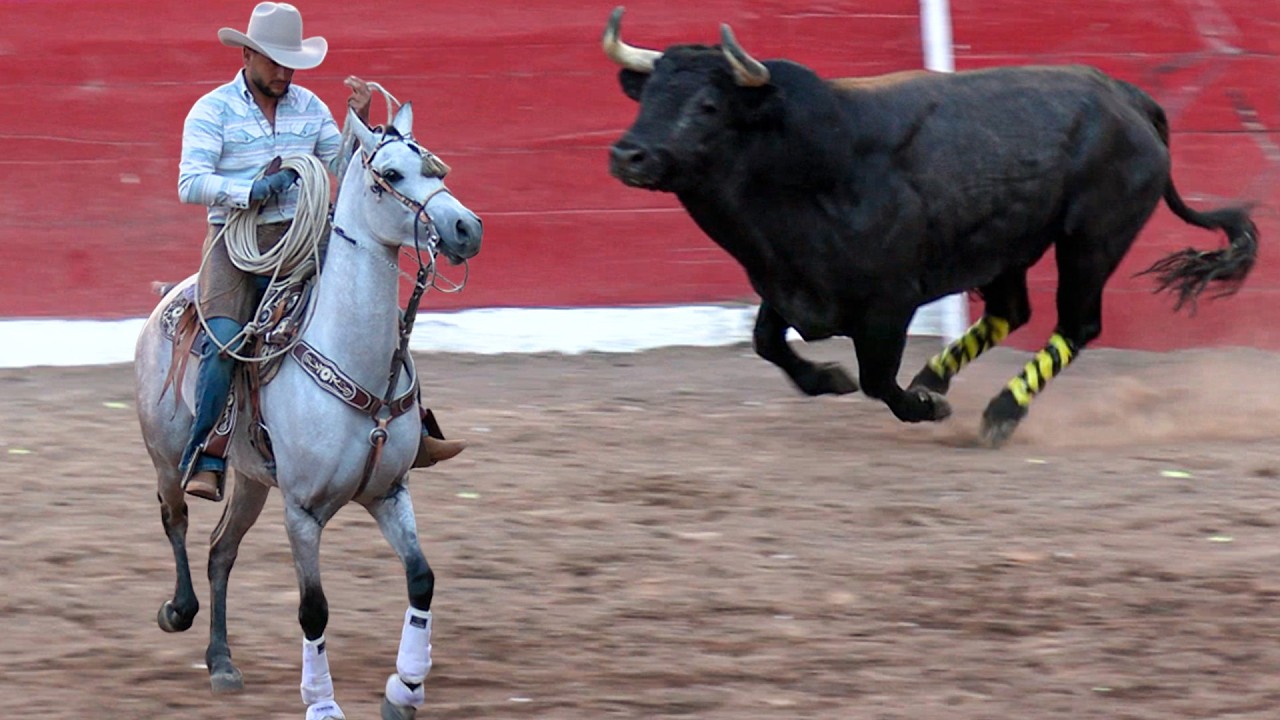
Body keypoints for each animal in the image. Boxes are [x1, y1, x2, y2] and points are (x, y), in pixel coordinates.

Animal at [134, 102, 482, 720]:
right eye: (390, 174)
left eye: (435, 168)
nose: (467, 228)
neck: (356, 356)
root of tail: (168, 302)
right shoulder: (302, 511)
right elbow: (313, 609)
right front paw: (322, 704)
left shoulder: (389, 493)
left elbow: (421, 578)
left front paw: (405, 689)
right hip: (167, 457)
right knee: (175, 519)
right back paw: (177, 610)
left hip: (251, 480)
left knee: (221, 551)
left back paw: (222, 662)